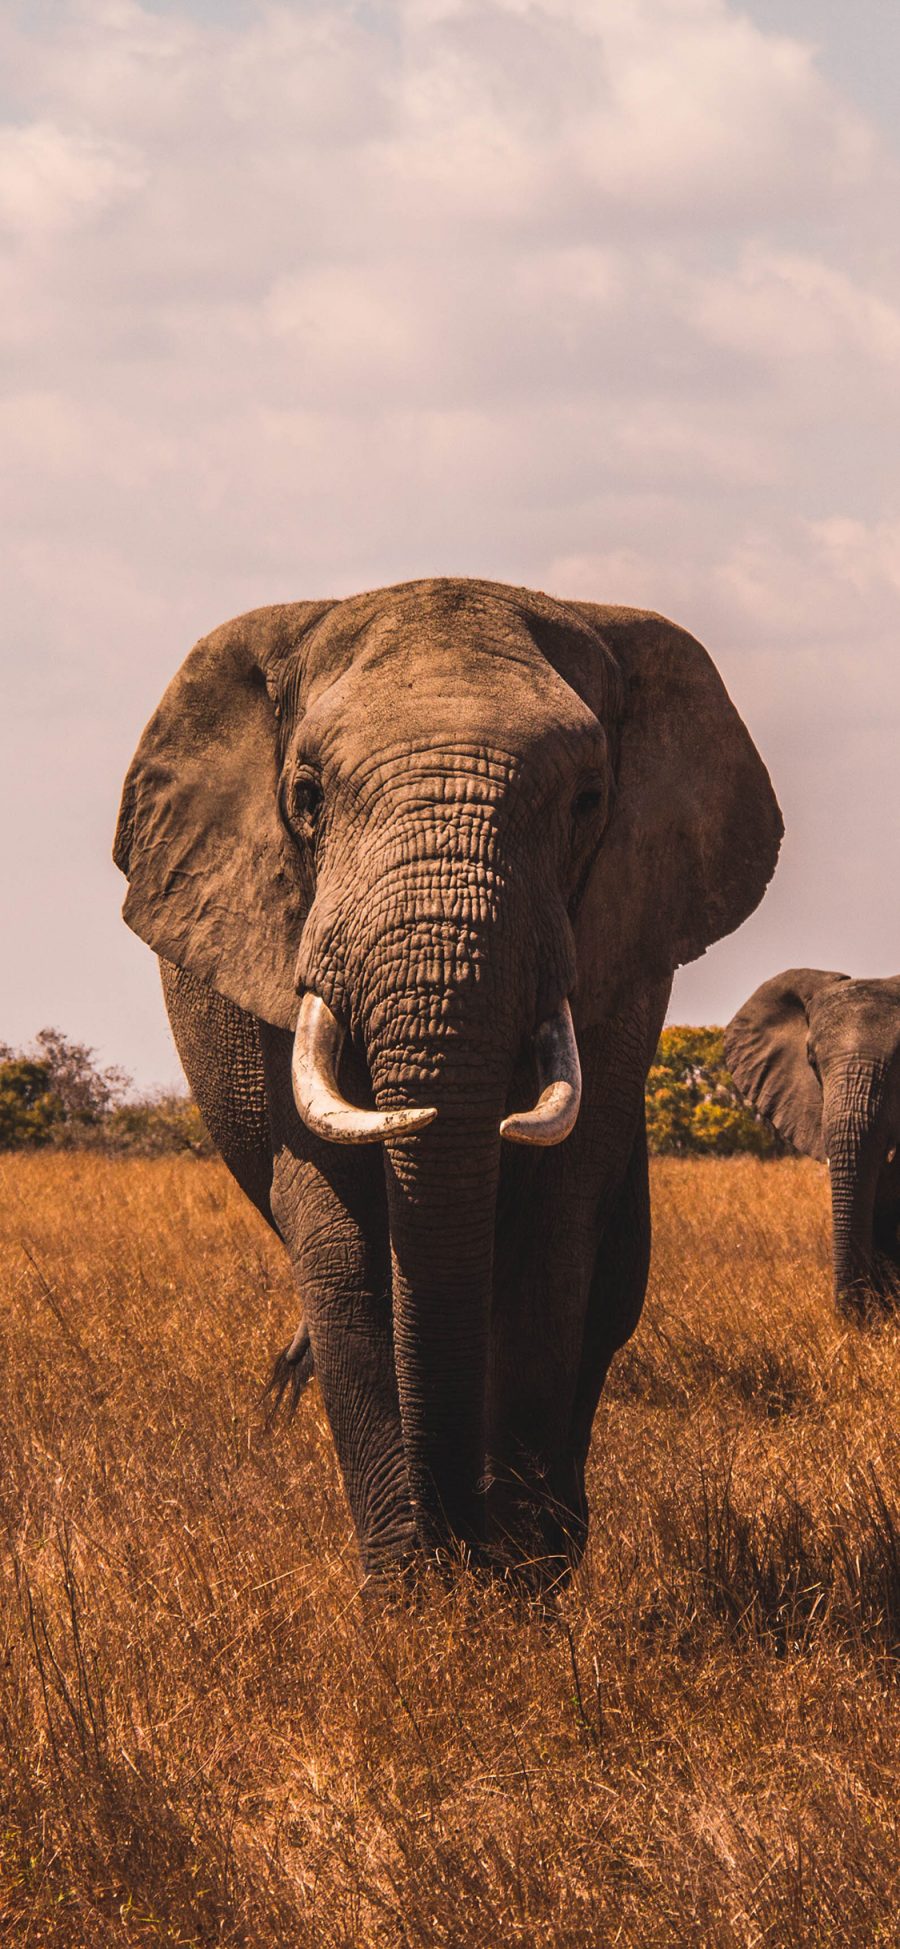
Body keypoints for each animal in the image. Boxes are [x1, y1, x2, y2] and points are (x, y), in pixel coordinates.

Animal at [115, 573, 779, 1582]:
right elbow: (343, 1245)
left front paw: (517, 1583)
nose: (458, 1538)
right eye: (306, 796)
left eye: (589, 799)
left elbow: (554, 1235)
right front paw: (414, 1592)